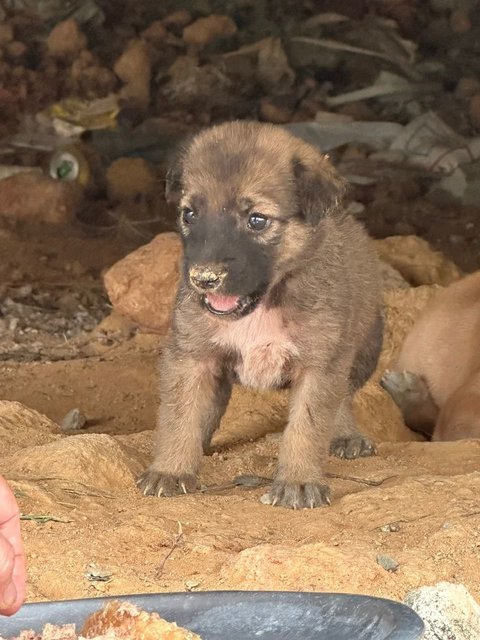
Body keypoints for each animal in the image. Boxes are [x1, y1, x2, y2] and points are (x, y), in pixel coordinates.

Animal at [136, 121, 382, 510]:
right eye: (189, 214)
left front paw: (298, 481)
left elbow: (308, 426)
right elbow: (181, 414)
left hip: (363, 348)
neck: (262, 304)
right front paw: (171, 469)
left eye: (257, 220)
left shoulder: (320, 364)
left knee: (343, 395)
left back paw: (345, 434)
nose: (204, 279)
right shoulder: (191, 355)